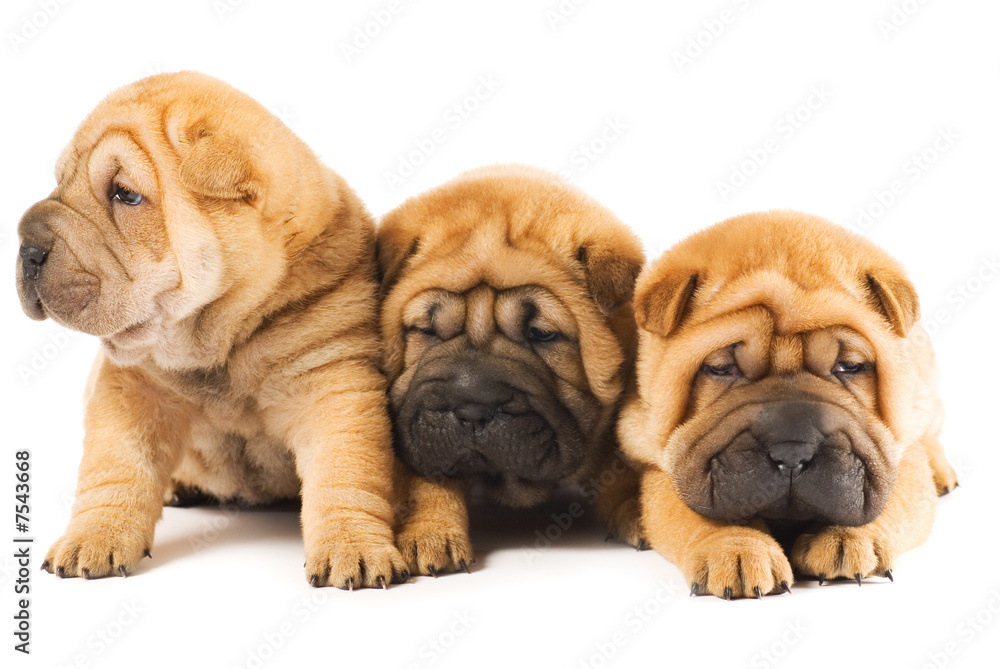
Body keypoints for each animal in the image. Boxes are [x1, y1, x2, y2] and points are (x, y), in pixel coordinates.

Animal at [13, 70, 404, 588]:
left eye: (124, 193)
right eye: (60, 182)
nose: (27, 247)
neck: (222, 338)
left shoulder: (334, 384)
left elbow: (346, 470)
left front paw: (354, 547)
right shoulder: (128, 386)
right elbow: (115, 466)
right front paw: (92, 538)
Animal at [376, 166, 648, 576]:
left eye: (542, 334)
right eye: (427, 331)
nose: (473, 409)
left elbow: (623, 465)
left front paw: (640, 509)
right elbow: (426, 481)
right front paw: (432, 533)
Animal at [620, 211, 956, 596]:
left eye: (850, 366)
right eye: (720, 368)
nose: (793, 453)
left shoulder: (901, 451)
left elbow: (888, 495)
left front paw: (847, 538)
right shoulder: (663, 464)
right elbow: (691, 512)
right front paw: (737, 550)